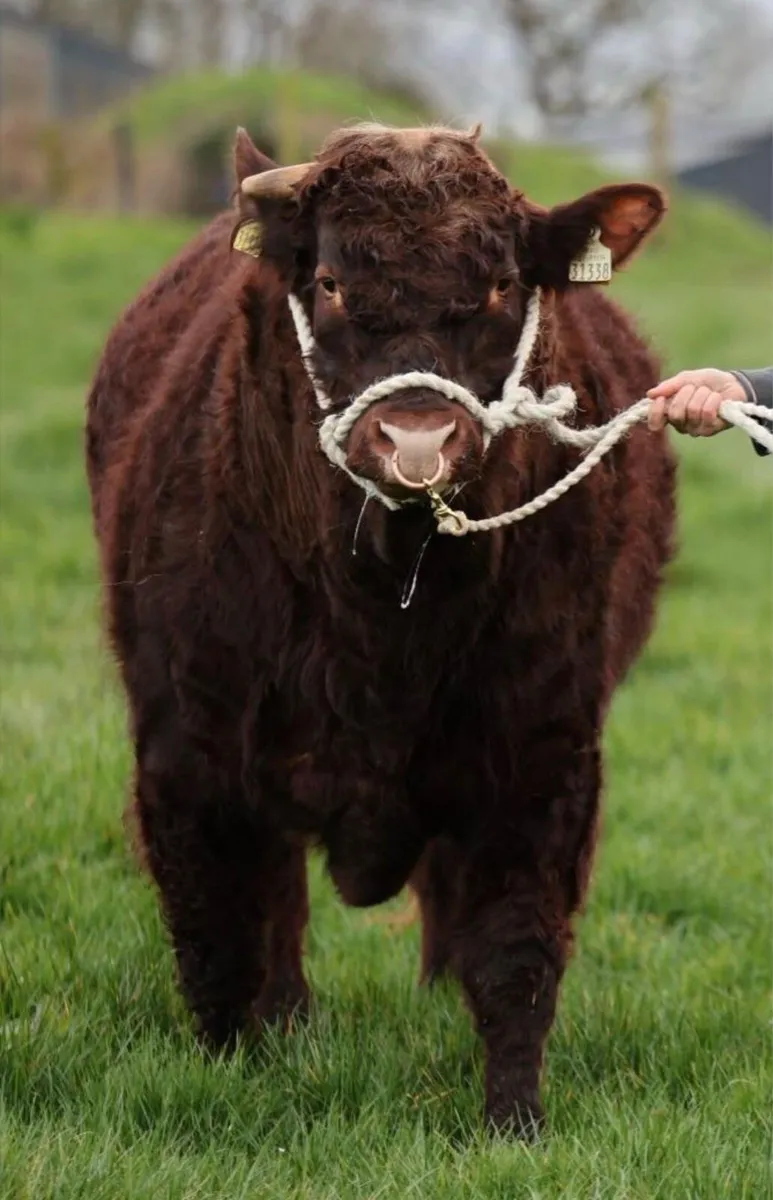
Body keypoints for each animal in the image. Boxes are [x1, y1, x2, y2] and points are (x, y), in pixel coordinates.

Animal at [85, 122, 676, 1137]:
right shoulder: (185, 748)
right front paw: (232, 1079)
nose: (415, 441)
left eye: (500, 285)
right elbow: (217, 936)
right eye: (327, 281)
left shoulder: (543, 746)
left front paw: (512, 1124)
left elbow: (514, 950)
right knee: (276, 910)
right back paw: (288, 1020)